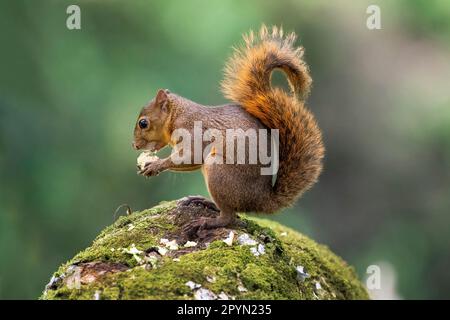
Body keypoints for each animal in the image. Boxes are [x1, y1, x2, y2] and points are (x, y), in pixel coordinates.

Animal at [132, 25, 326, 235]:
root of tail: (261, 200)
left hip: (219, 170)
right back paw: (206, 202)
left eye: (143, 123)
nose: (134, 145)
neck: (177, 115)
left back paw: (207, 222)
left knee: (229, 216)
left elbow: (190, 156)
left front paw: (155, 166)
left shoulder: (192, 131)